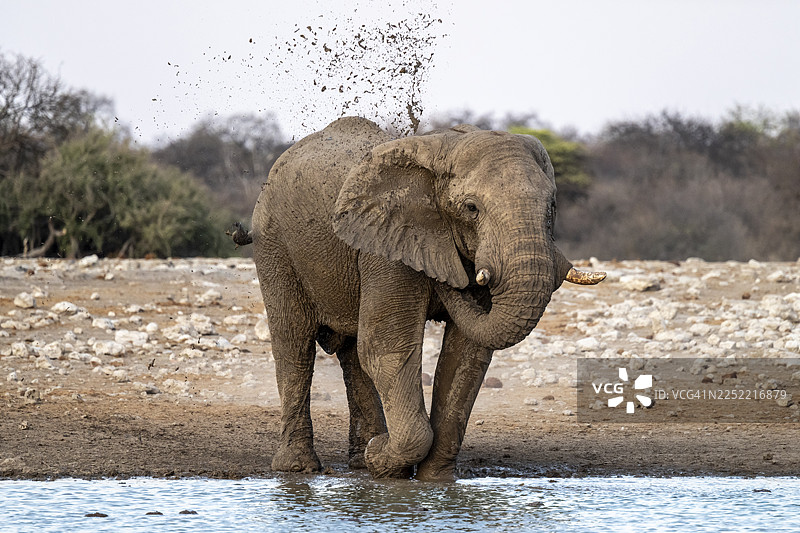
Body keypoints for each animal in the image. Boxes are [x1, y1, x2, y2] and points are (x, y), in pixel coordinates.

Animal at [238, 116, 605, 481]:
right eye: (471, 208)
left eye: (552, 206)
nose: (452, 283)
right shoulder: (388, 244)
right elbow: (387, 346)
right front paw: (382, 458)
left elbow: (466, 354)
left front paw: (430, 479)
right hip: (274, 244)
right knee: (295, 346)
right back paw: (300, 467)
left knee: (351, 353)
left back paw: (362, 461)